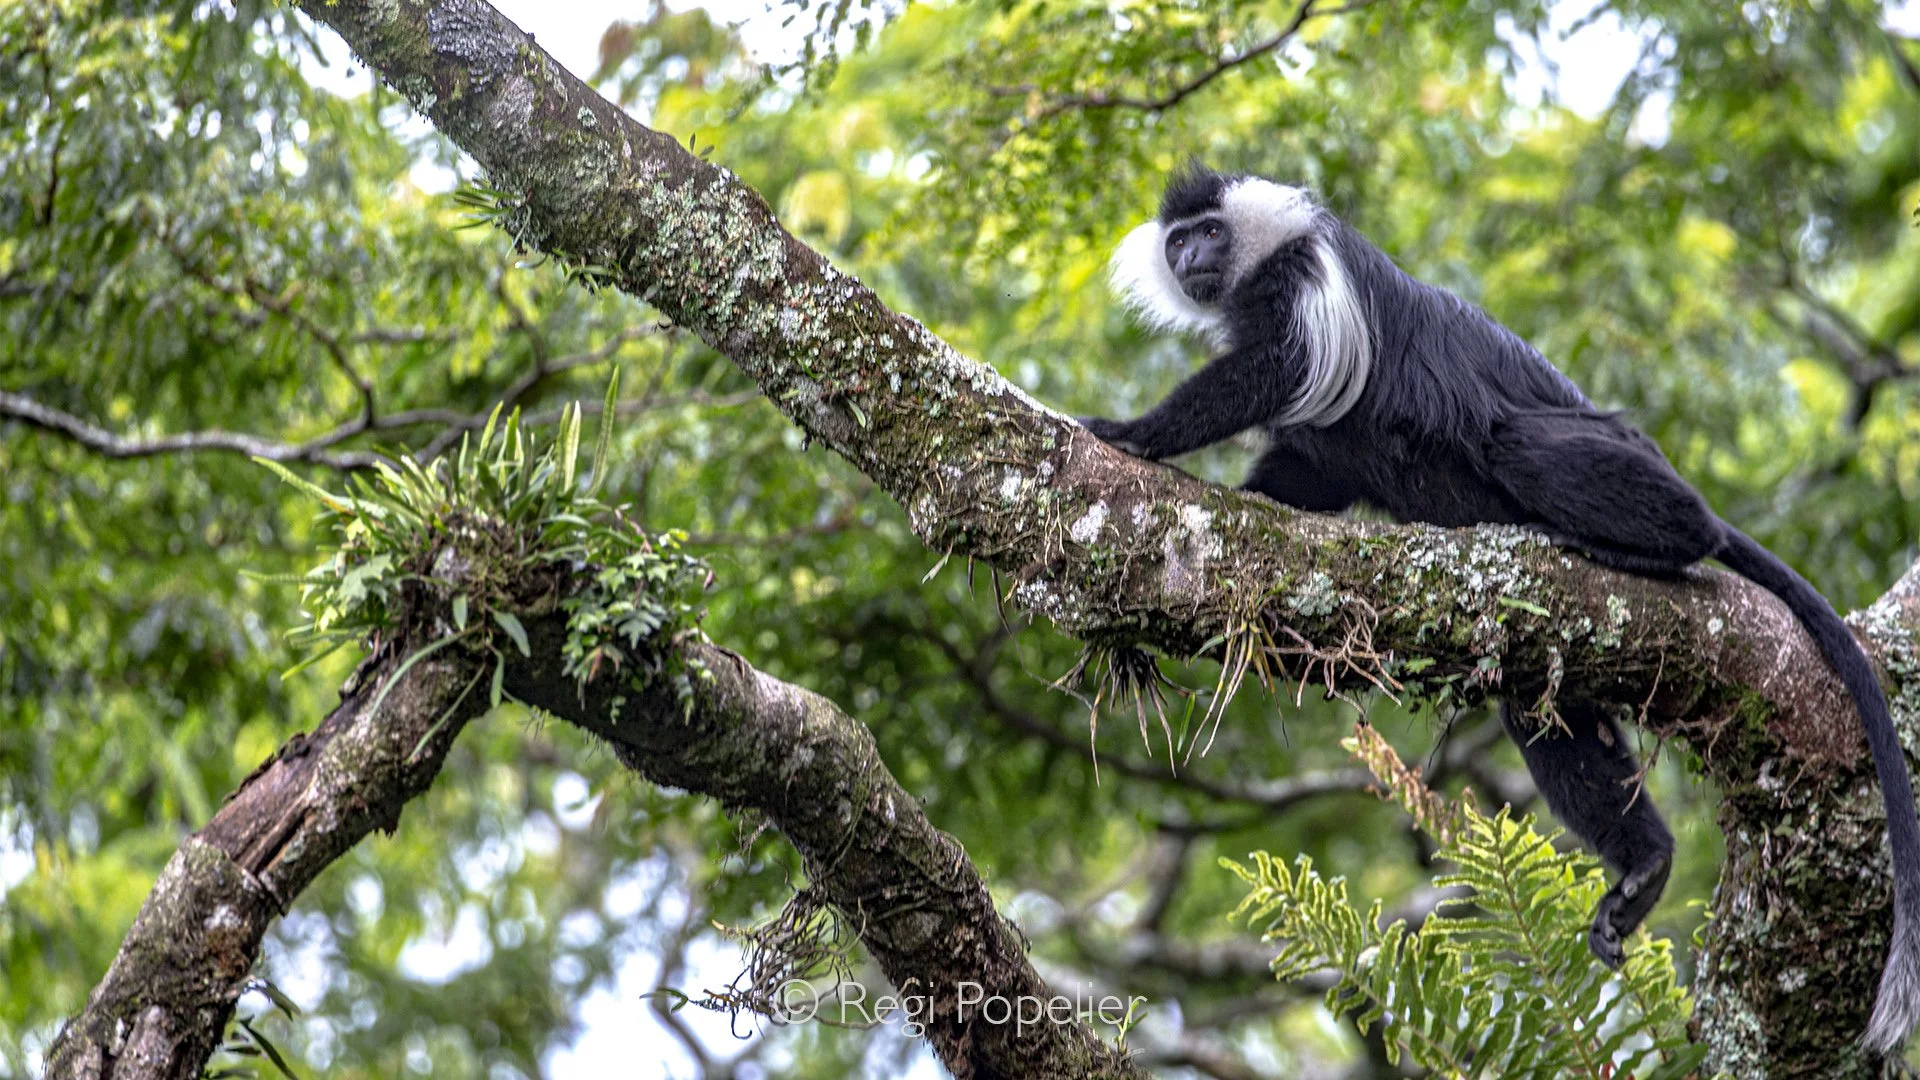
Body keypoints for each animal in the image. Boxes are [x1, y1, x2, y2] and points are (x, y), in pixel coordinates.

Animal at [1080, 163, 1920, 1052]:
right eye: (1179, 241)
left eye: (1209, 232)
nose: (1190, 258)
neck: (1260, 265)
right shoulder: (1319, 443)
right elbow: (1306, 472)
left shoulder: (1311, 286)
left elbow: (1274, 368)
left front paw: (1131, 433)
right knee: (1550, 720)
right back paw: (1644, 868)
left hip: (1598, 450)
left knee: (1530, 448)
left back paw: (1657, 541)